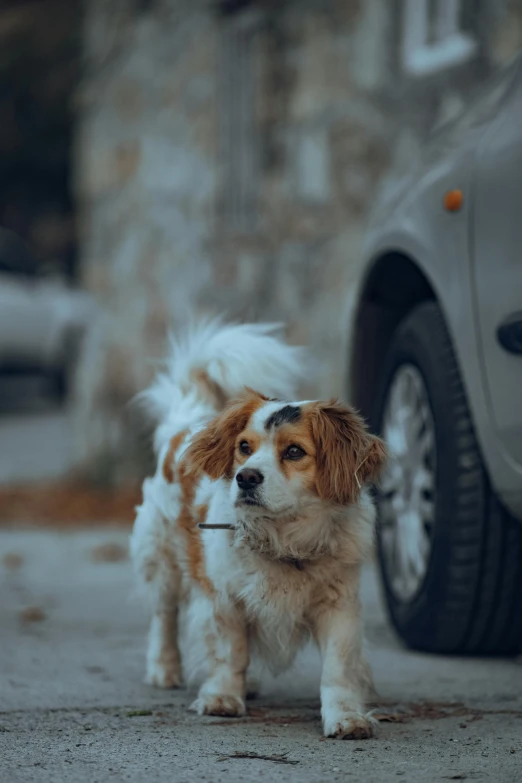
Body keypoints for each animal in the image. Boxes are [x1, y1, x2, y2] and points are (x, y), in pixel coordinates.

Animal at [129, 318, 386, 740]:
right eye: (244, 447)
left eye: (294, 452)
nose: (246, 478)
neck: (285, 536)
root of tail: (184, 423)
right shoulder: (222, 599)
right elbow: (228, 652)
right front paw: (222, 698)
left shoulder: (339, 605)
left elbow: (338, 669)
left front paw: (345, 717)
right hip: (162, 560)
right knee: (163, 616)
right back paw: (163, 668)